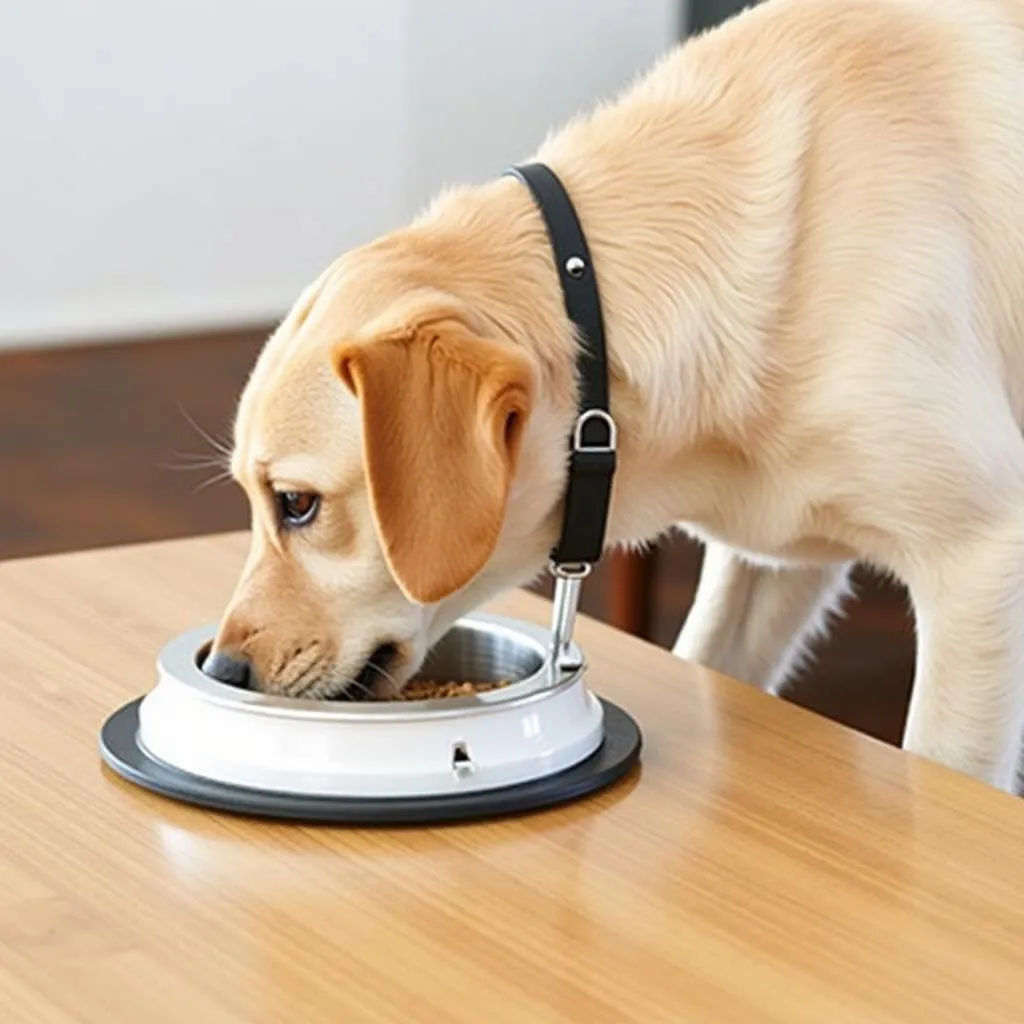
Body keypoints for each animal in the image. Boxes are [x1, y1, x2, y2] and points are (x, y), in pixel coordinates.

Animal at [203, 0, 1024, 790]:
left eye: (298, 503)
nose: (222, 669)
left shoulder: (980, 557)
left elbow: (944, 767)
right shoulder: (771, 557)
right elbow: (709, 655)